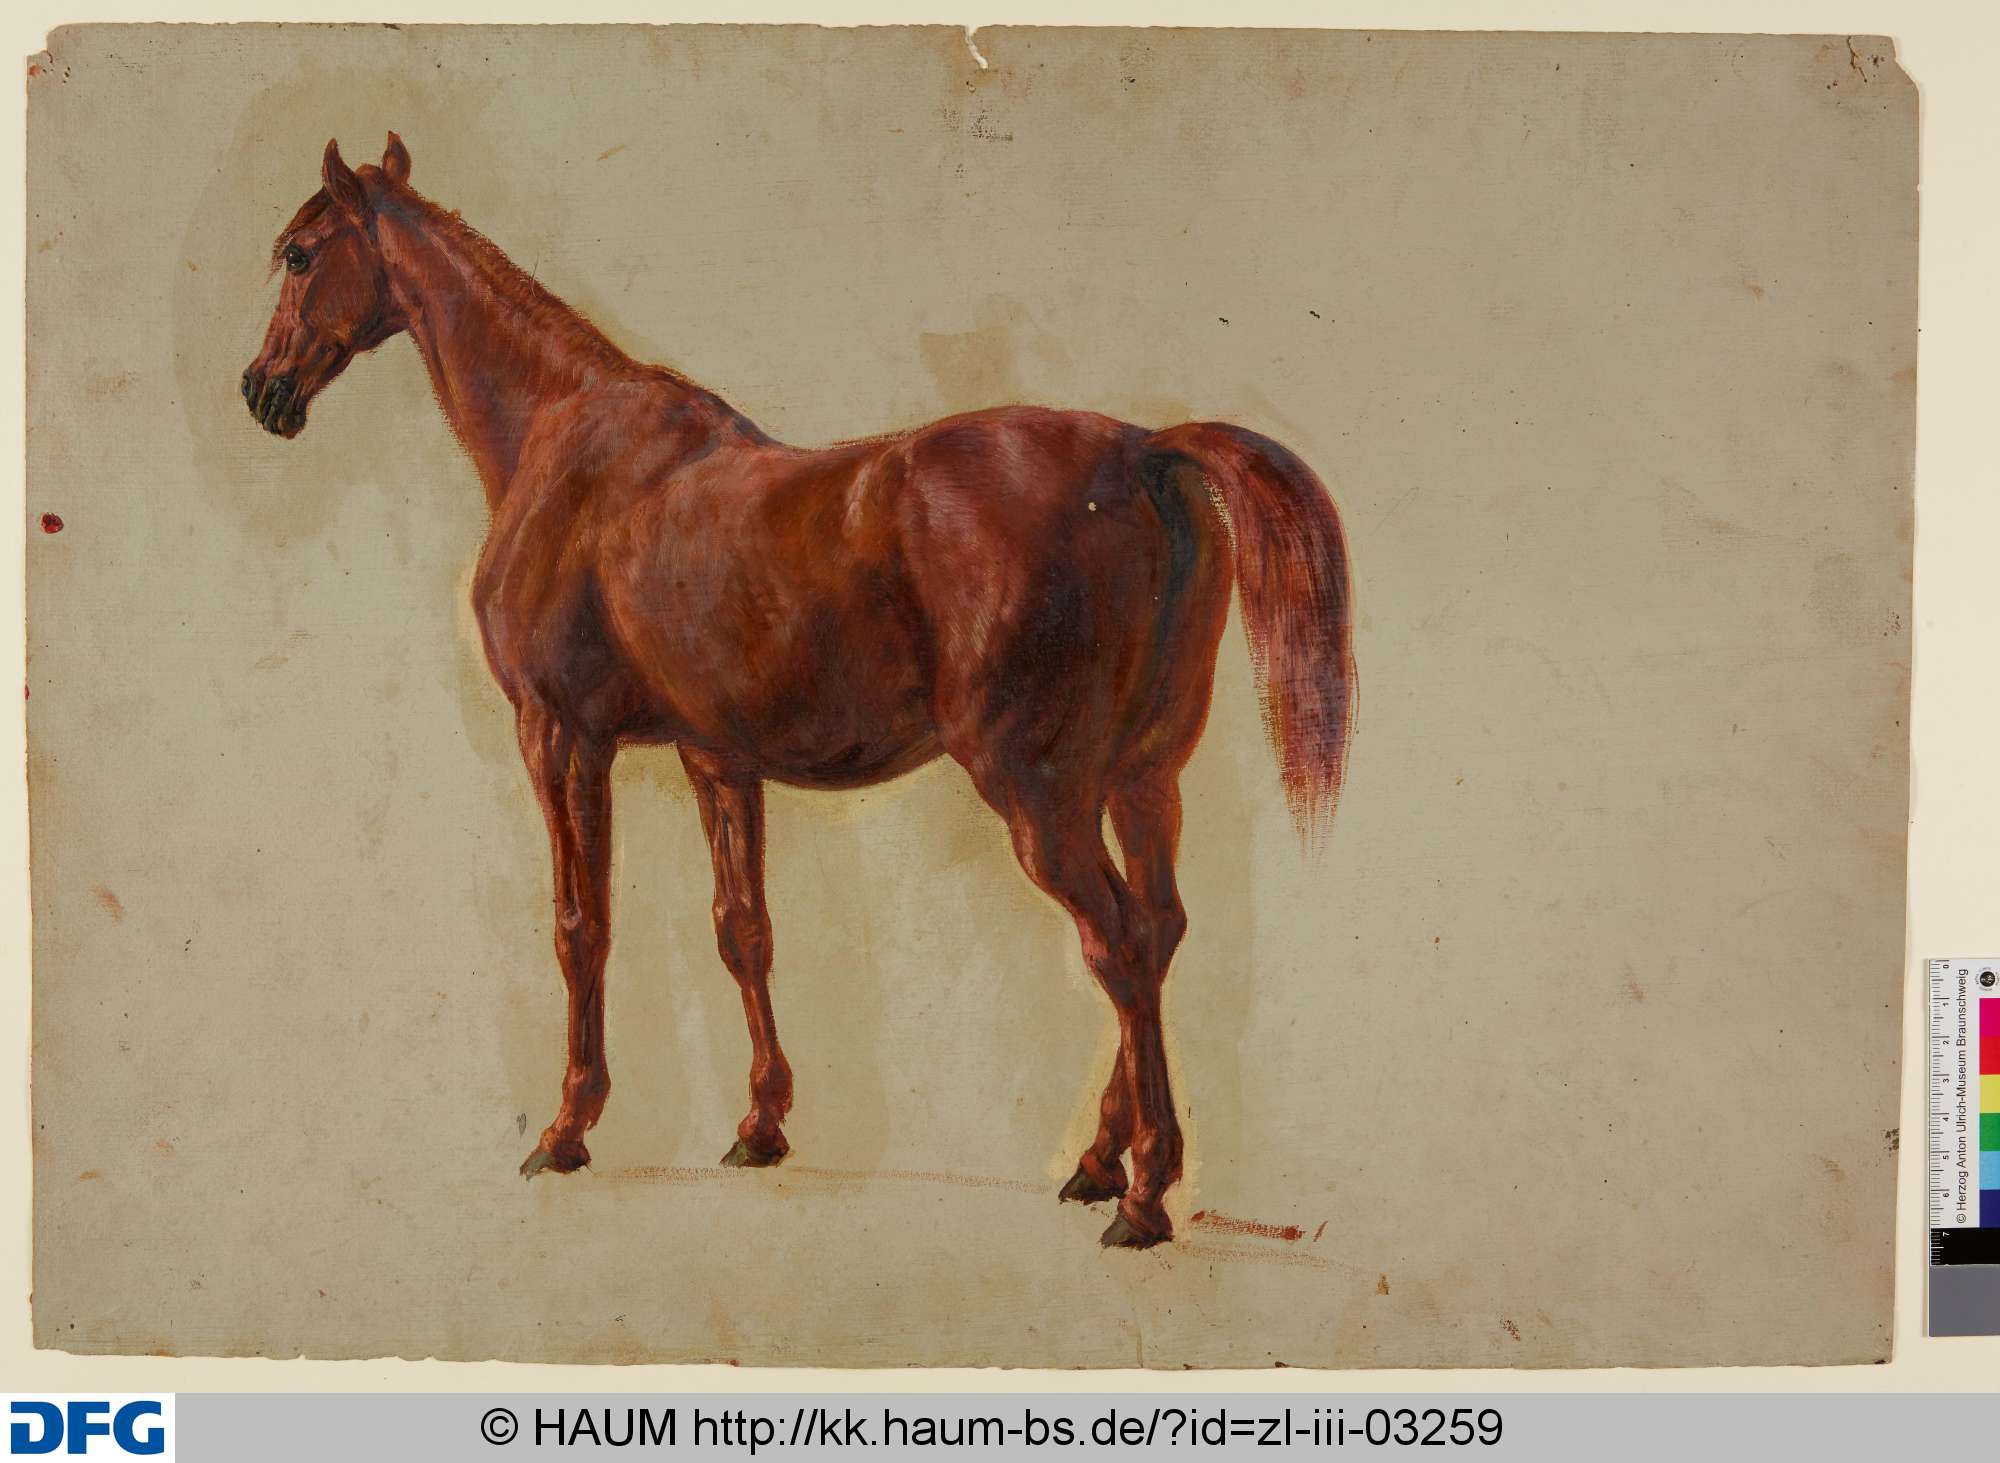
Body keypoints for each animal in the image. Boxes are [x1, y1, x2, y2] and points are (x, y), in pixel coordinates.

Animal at [243, 135, 1355, 1248]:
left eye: (297, 253)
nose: (262, 390)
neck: (561, 439)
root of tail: (1141, 451)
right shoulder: (716, 757)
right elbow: (743, 928)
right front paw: (760, 1123)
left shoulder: (558, 737)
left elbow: (579, 924)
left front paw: (566, 1128)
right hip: (1140, 778)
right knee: (1158, 928)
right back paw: (1094, 1161)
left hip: (1040, 792)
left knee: (1117, 943)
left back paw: (1142, 1189)